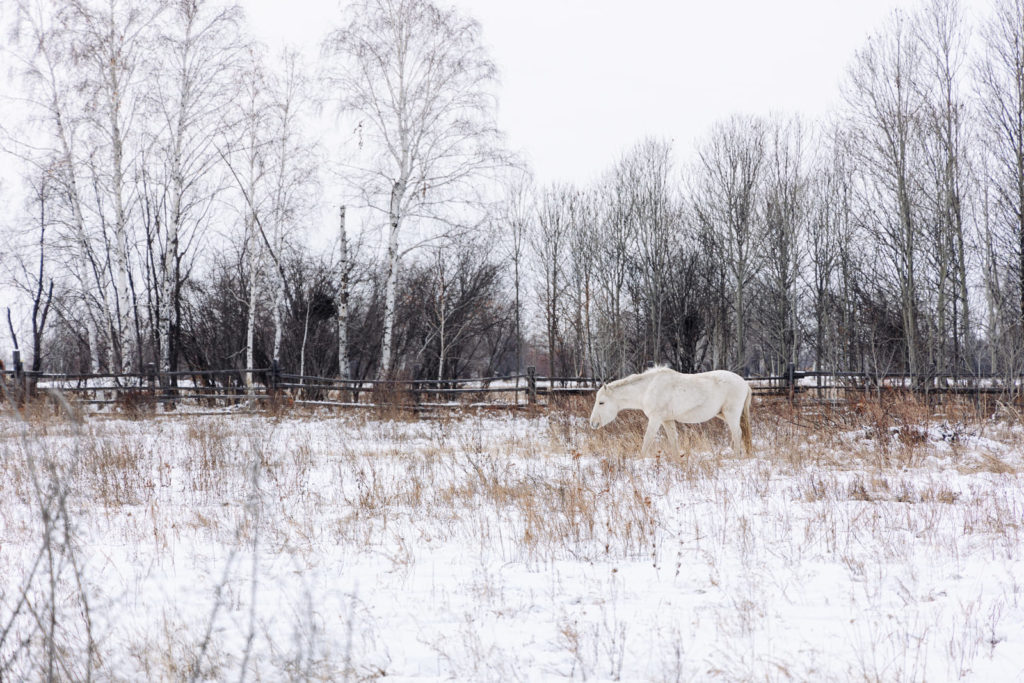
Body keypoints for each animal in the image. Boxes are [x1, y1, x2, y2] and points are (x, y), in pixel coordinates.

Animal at [585, 368, 753, 458]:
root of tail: (745, 383)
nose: (593, 423)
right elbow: (673, 441)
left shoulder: (656, 419)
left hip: (731, 414)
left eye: (601, 402)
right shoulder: (667, 420)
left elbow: (647, 440)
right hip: (724, 414)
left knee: (737, 433)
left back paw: (736, 457)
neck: (648, 388)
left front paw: (640, 460)